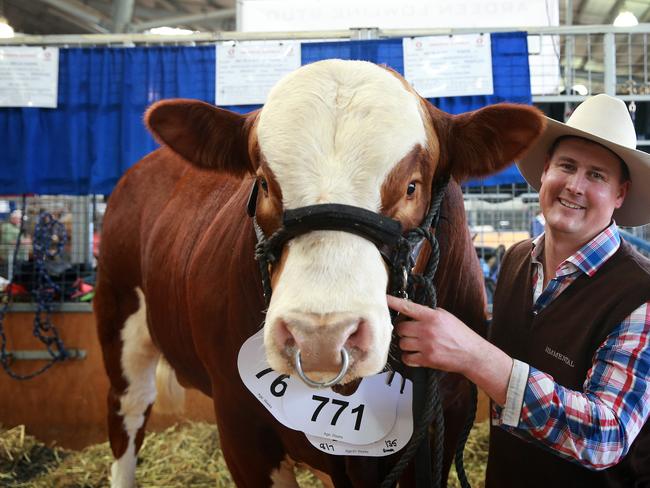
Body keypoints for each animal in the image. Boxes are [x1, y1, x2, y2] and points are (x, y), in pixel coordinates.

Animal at [96, 59, 540, 486]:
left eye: (412, 187)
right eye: (263, 183)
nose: (320, 336)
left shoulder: (444, 415)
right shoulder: (239, 422)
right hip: (118, 312)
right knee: (128, 412)